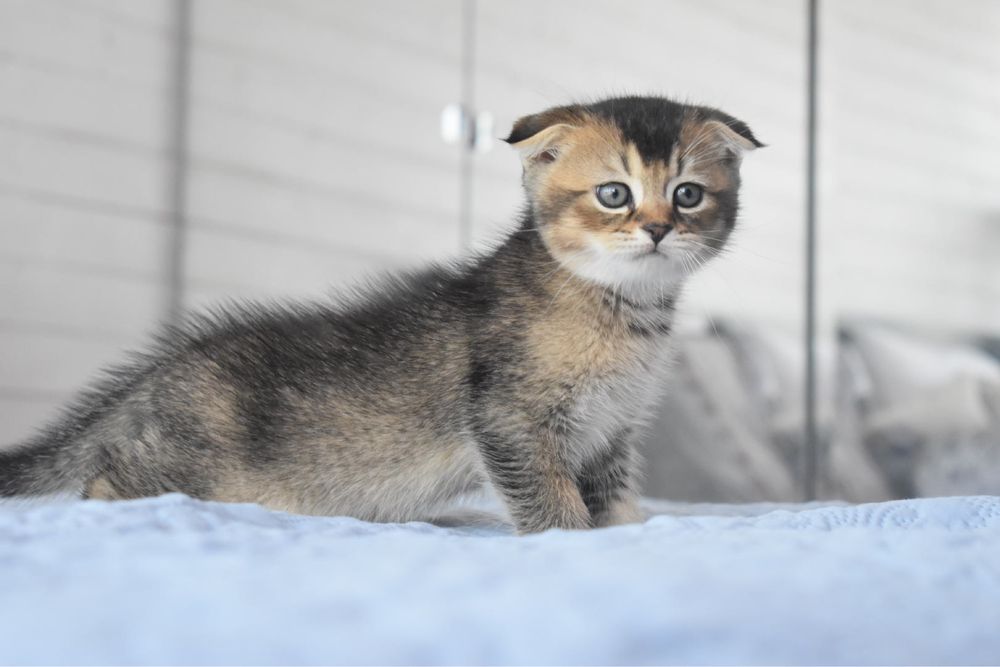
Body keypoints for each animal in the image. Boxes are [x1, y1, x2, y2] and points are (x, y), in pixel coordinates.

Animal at [0, 95, 760, 532]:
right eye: (613, 193)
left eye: (688, 194)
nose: (658, 229)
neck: (626, 315)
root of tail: (161, 369)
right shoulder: (510, 417)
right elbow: (550, 501)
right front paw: (566, 537)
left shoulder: (611, 430)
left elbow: (614, 499)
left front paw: (631, 529)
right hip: (198, 464)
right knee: (106, 479)